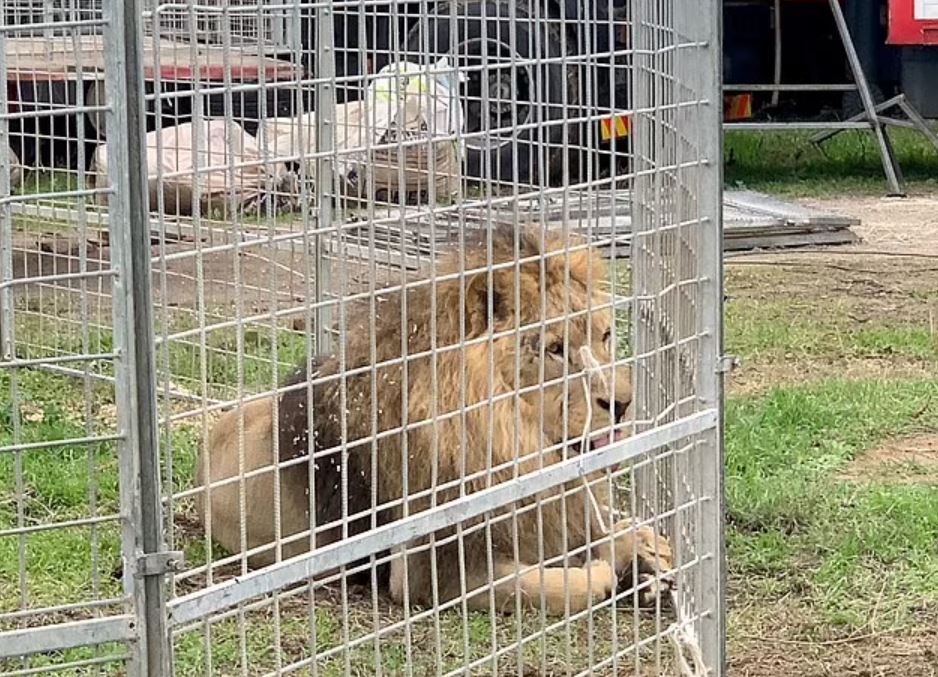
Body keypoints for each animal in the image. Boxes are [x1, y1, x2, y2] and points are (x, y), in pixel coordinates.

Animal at [194, 226, 668, 612]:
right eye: (553, 349)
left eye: (605, 335)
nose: (623, 403)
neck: (513, 439)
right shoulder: (434, 572)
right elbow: (552, 586)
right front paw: (610, 574)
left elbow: (612, 530)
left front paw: (647, 557)